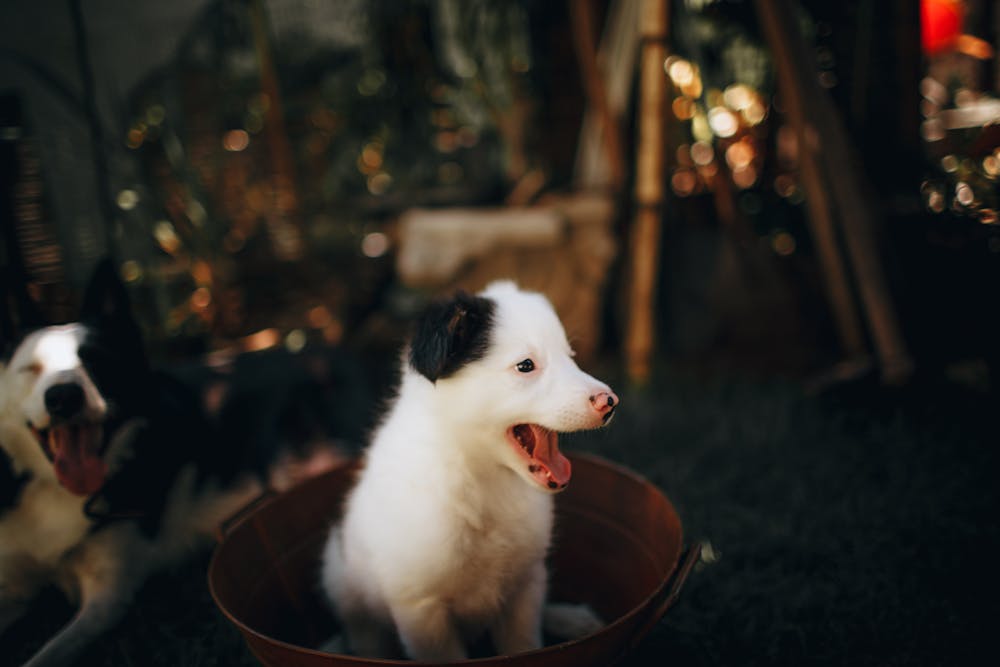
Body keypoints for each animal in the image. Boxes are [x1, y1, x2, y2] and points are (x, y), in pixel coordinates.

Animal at [0, 262, 336, 667]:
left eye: (95, 360)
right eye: (31, 369)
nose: (64, 397)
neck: (58, 493)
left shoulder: (107, 596)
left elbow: (46, 654)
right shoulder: (15, 583)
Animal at [320, 282, 616, 664]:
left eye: (571, 355)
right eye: (526, 365)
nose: (610, 402)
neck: (480, 476)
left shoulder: (524, 585)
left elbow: (525, 644)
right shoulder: (422, 609)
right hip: (340, 579)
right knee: (364, 634)